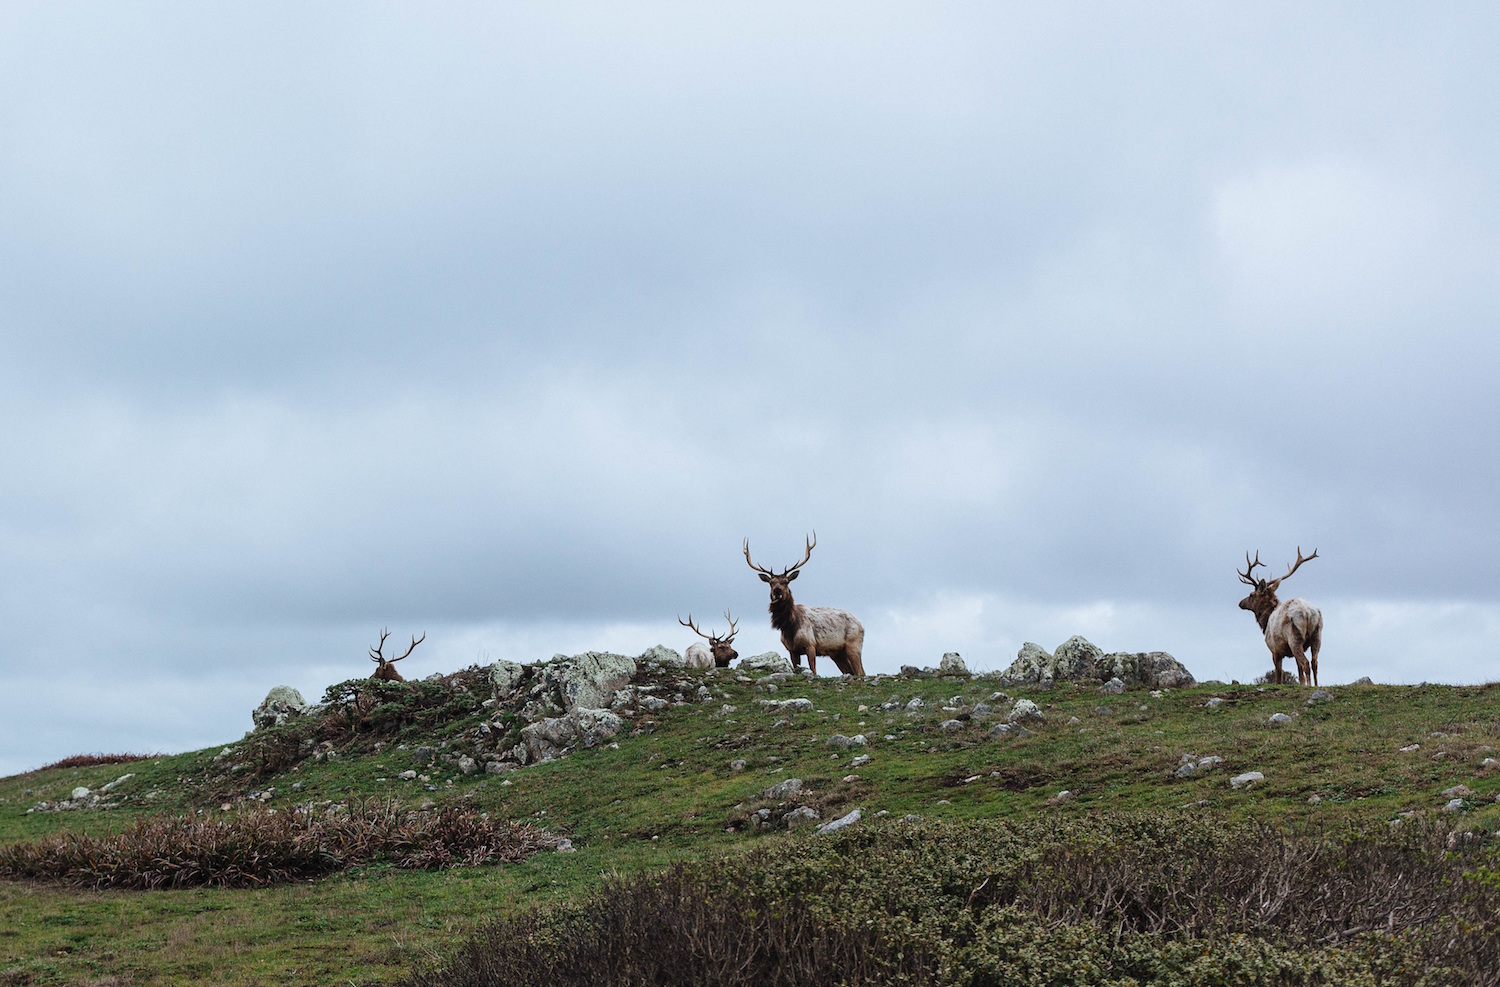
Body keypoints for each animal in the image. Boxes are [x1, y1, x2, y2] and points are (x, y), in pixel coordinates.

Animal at [741, 531, 870, 678]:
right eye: (771, 583)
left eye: (786, 582)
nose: (777, 591)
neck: (789, 626)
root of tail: (861, 624)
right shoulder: (792, 650)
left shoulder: (811, 644)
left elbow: (813, 670)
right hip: (837, 653)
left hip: (853, 644)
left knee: (861, 672)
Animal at [1242, 546, 1326, 684]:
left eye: (1251, 595)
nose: (1240, 603)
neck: (1265, 622)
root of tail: (1307, 612)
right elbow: (1300, 675)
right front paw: (1302, 685)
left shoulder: (1274, 649)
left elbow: (1279, 676)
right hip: (1317, 635)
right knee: (1314, 663)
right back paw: (1315, 685)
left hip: (1294, 638)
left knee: (1306, 663)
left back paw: (1310, 686)